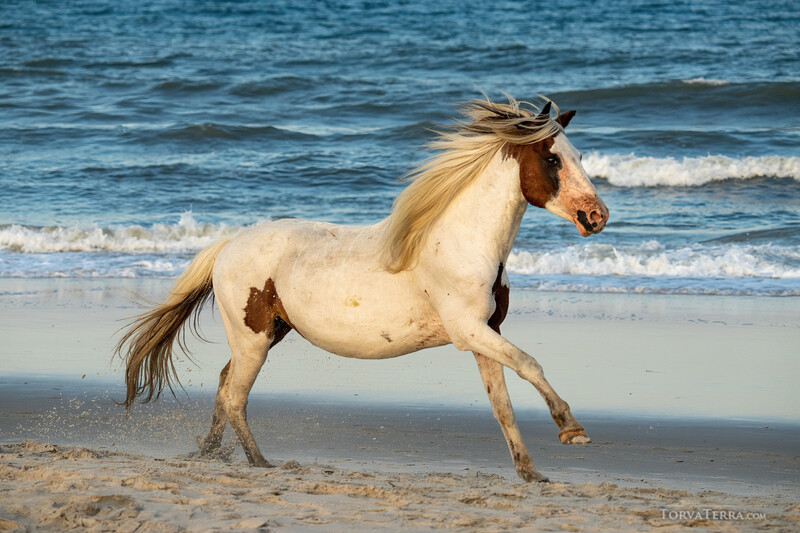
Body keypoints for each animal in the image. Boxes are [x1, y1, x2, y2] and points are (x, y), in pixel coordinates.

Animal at [116, 95, 609, 483]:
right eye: (552, 159)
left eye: (580, 156)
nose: (597, 216)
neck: (462, 243)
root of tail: (228, 245)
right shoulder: (469, 331)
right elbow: (530, 364)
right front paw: (572, 430)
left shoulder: (486, 334)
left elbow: (501, 404)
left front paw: (531, 472)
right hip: (252, 339)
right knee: (235, 397)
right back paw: (259, 463)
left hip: (268, 334)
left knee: (223, 385)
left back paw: (210, 453)